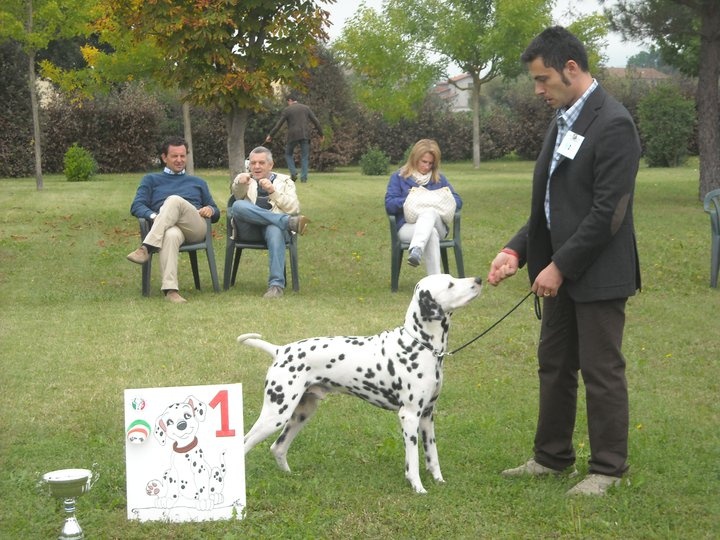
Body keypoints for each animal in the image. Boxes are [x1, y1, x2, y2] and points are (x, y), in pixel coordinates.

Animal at [239, 274, 482, 493]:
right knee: (244, 444)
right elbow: (412, 461)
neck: (418, 344)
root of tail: (280, 350)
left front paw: (439, 481)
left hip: (301, 414)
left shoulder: (427, 416)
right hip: (275, 415)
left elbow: (433, 457)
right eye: (450, 284)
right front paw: (418, 487)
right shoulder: (410, 416)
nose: (479, 280)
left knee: (278, 447)